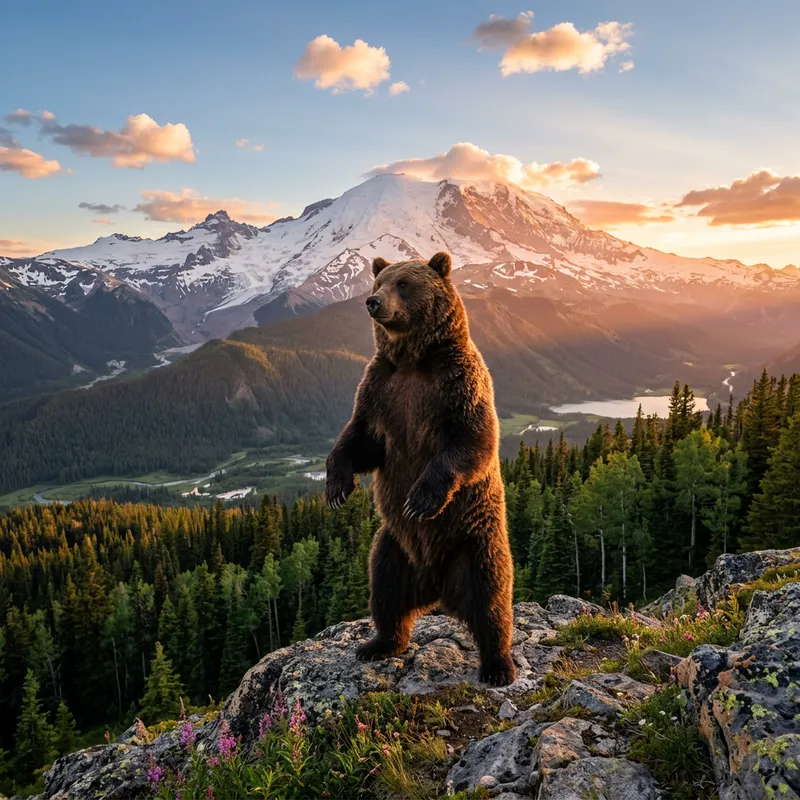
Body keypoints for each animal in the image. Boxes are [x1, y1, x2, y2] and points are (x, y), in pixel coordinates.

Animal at [324, 251, 517, 686]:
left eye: (404, 284)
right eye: (378, 282)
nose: (373, 303)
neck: (414, 360)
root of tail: (436, 587)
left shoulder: (457, 384)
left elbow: (472, 440)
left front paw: (420, 499)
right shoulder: (382, 389)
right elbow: (361, 439)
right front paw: (337, 486)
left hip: (473, 542)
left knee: (491, 598)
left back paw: (498, 665)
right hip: (394, 547)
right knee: (385, 591)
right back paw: (378, 644)